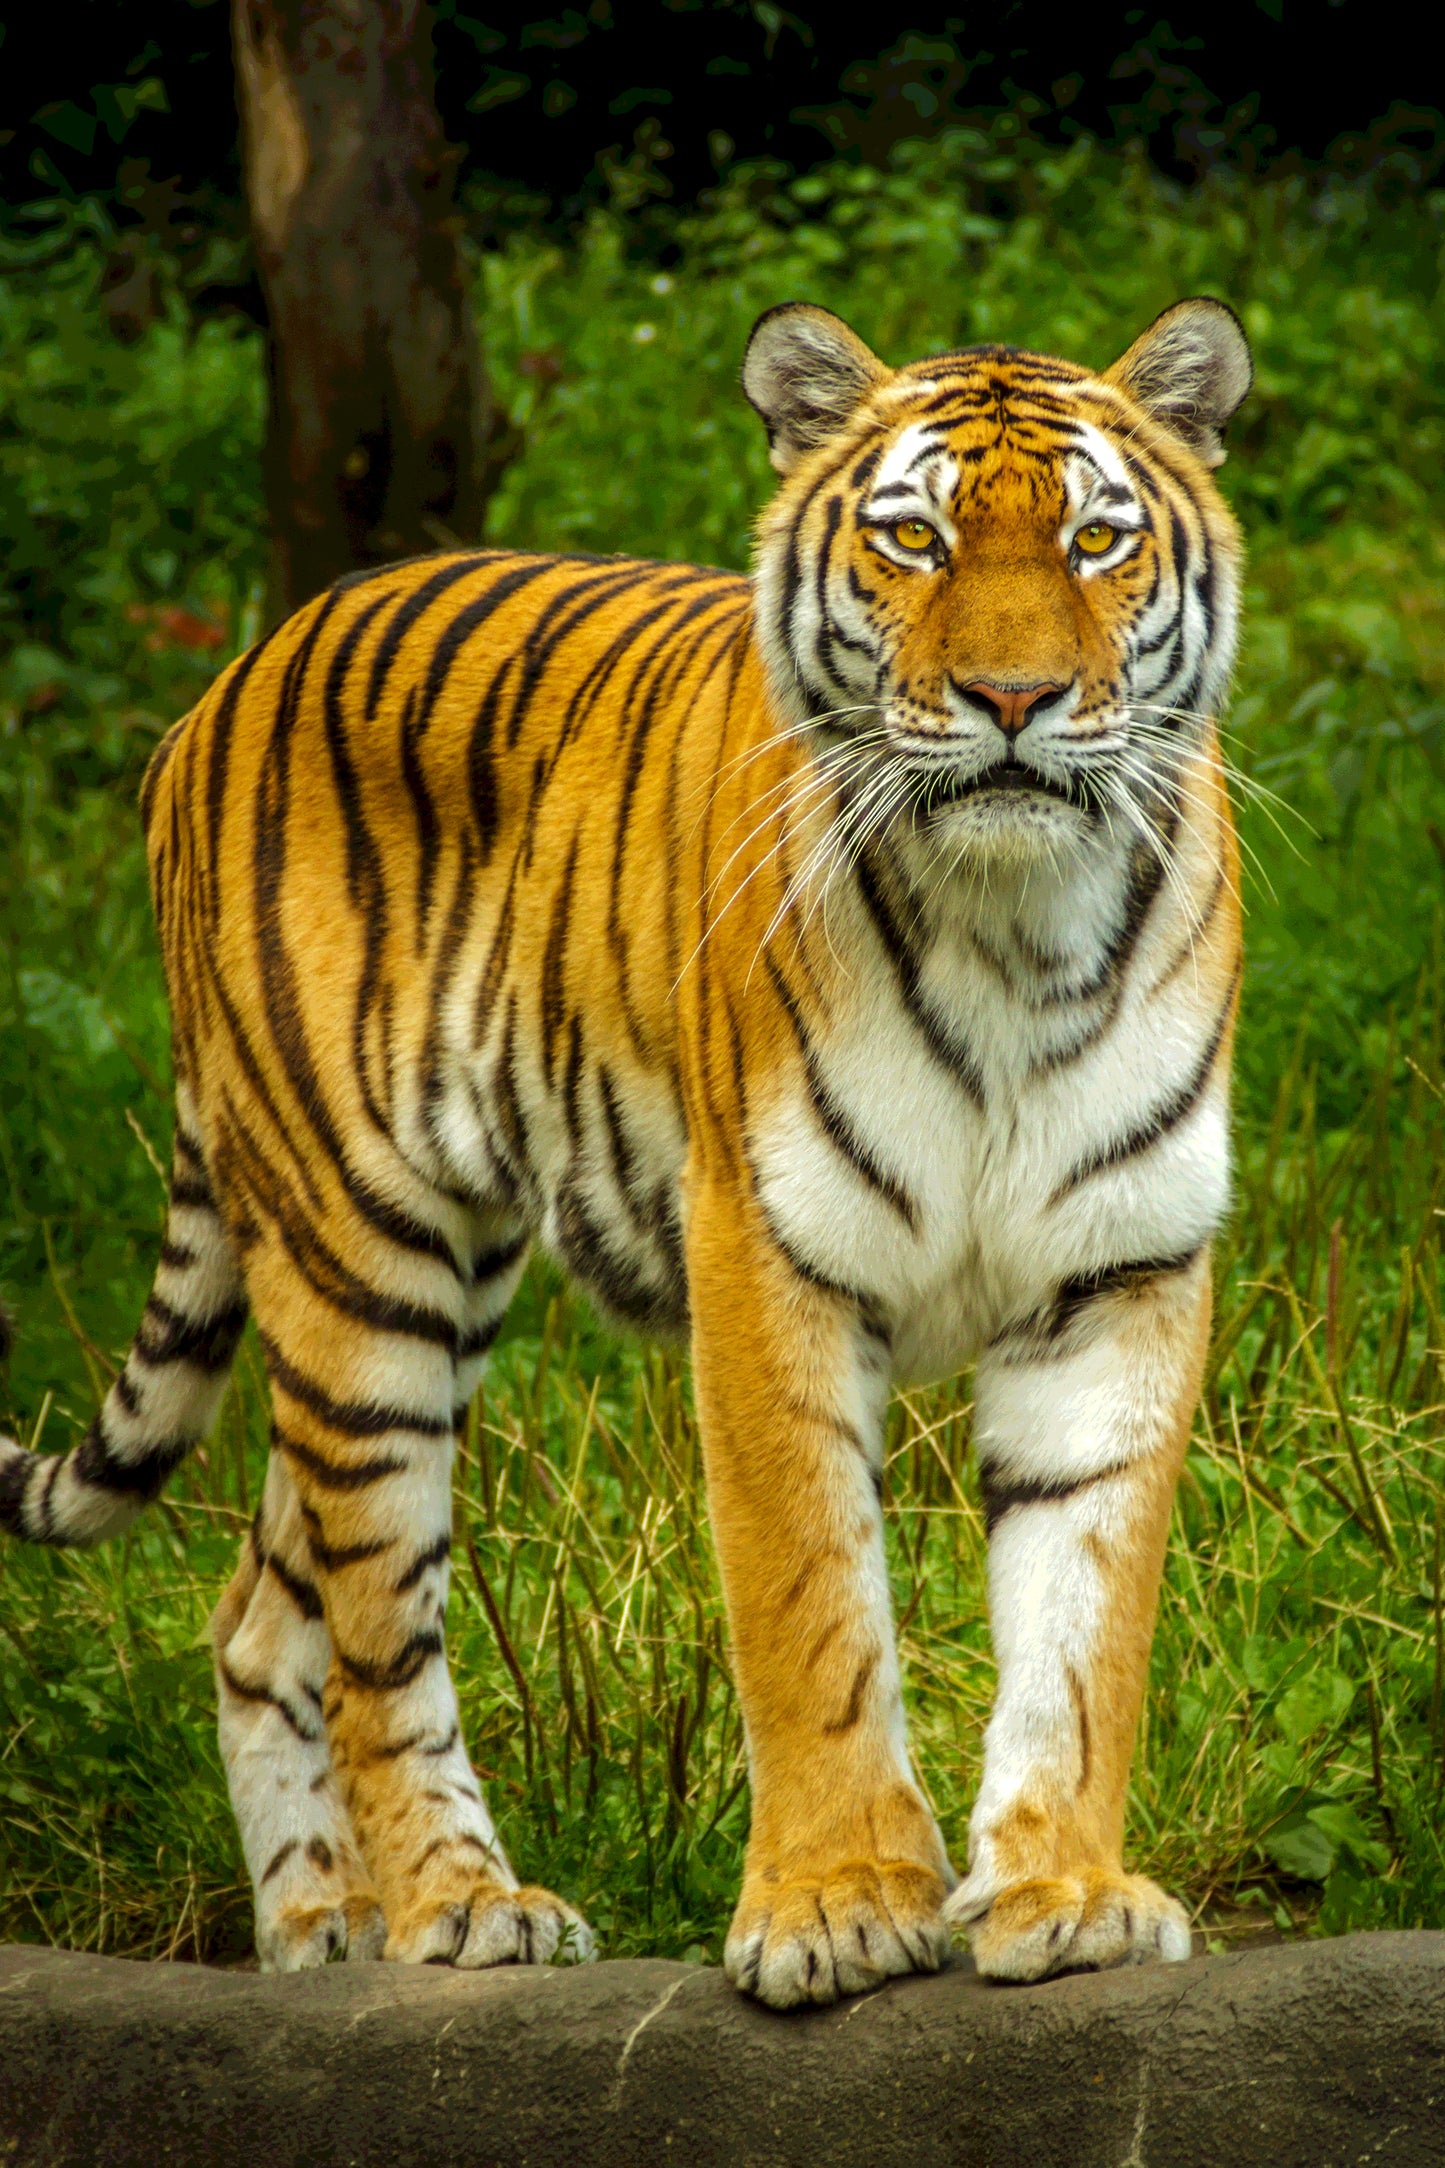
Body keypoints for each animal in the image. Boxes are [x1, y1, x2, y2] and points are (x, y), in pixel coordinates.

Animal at [0, 294, 1249, 2006]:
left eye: (1096, 540)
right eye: (914, 539)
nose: (1014, 700)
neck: (1016, 927)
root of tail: (229, 678)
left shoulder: (1118, 1273)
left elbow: (1086, 1618)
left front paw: (1064, 1895)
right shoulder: (768, 1252)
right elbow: (808, 1604)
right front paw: (836, 1905)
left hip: (413, 1285)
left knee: (262, 1612)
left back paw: (317, 1929)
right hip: (360, 1259)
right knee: (375, 1626)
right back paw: (458, 1908)